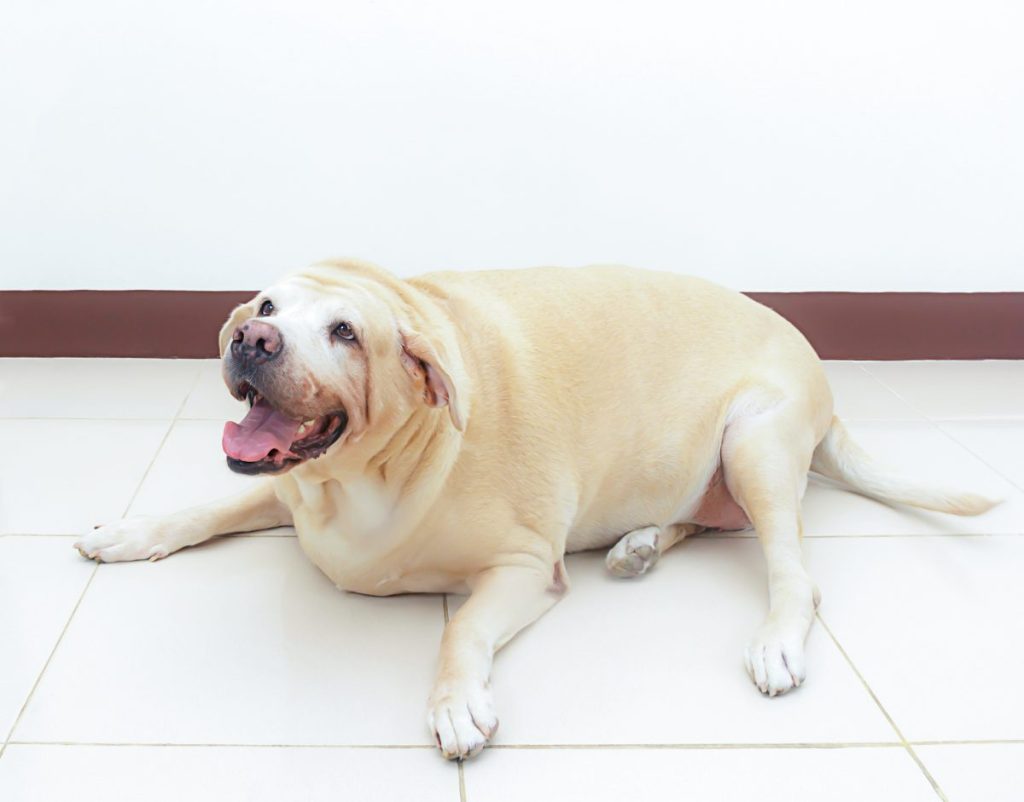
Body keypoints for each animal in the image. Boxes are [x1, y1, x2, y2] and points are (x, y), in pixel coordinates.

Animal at [74, 259, 999, 757]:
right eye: (267, 307)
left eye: (344, 332)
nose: (250, 339)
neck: (365, 475)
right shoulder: (288, 489)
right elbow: (204, 510)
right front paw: (130, 530)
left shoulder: (522, 568)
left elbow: (457, 633)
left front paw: (453, 702)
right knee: (712, 519)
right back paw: (640, 543)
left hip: (756, 442)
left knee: (792, 571)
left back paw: (772, 636)